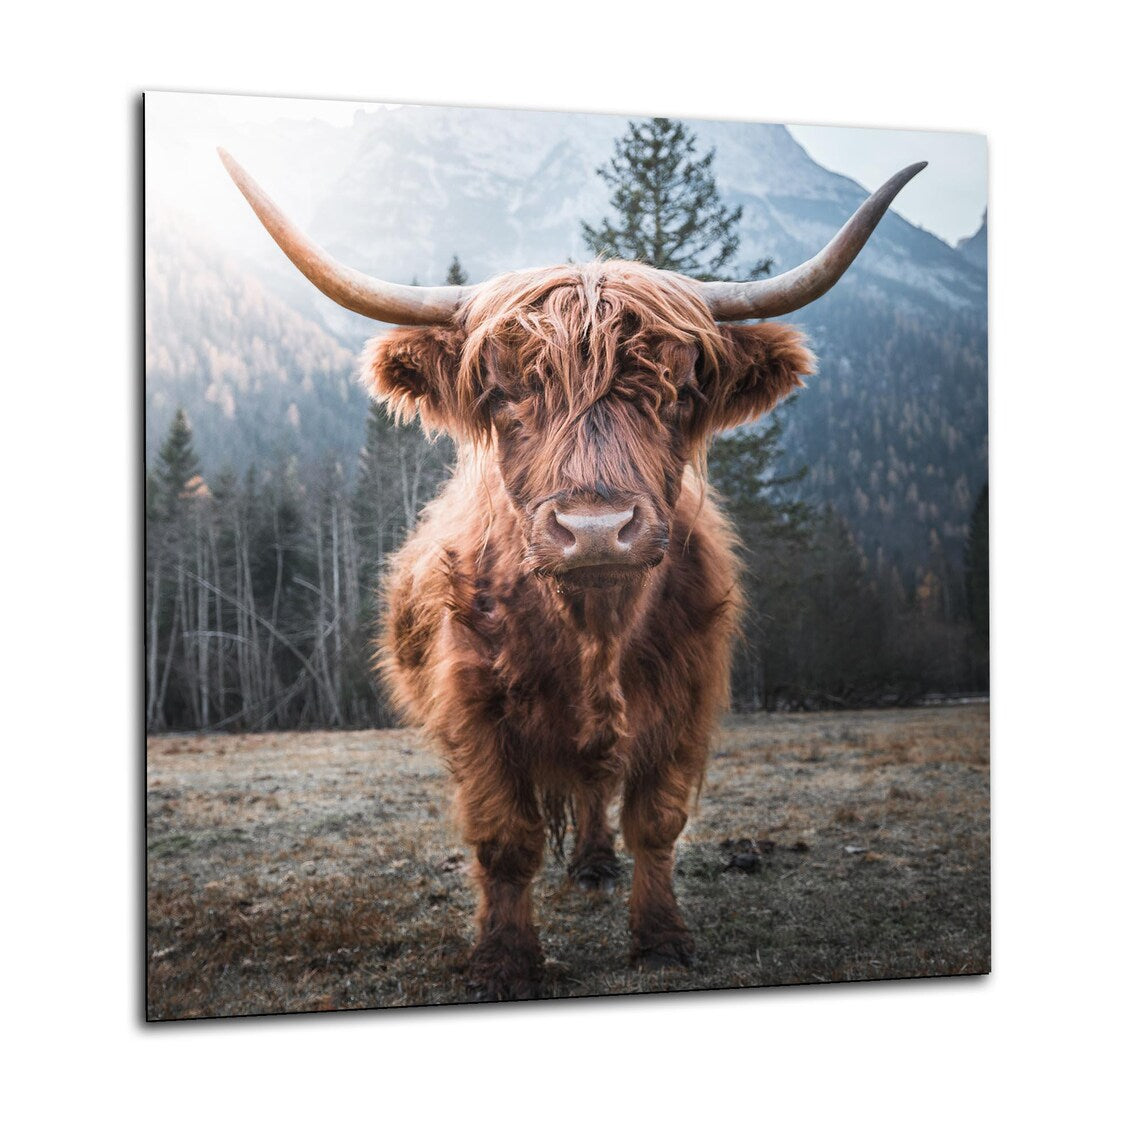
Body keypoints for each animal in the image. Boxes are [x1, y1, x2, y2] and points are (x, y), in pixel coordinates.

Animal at [220, 148, 924, 1000]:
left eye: (680, 390)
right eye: (502, 391)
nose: (595, 530)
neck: (593, 630)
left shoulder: (686, 697)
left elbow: (655, 822)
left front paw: (661, 938)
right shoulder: (475, 709)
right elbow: (505, 838)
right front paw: (504, 960)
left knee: (595, 786)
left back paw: (593, 863)